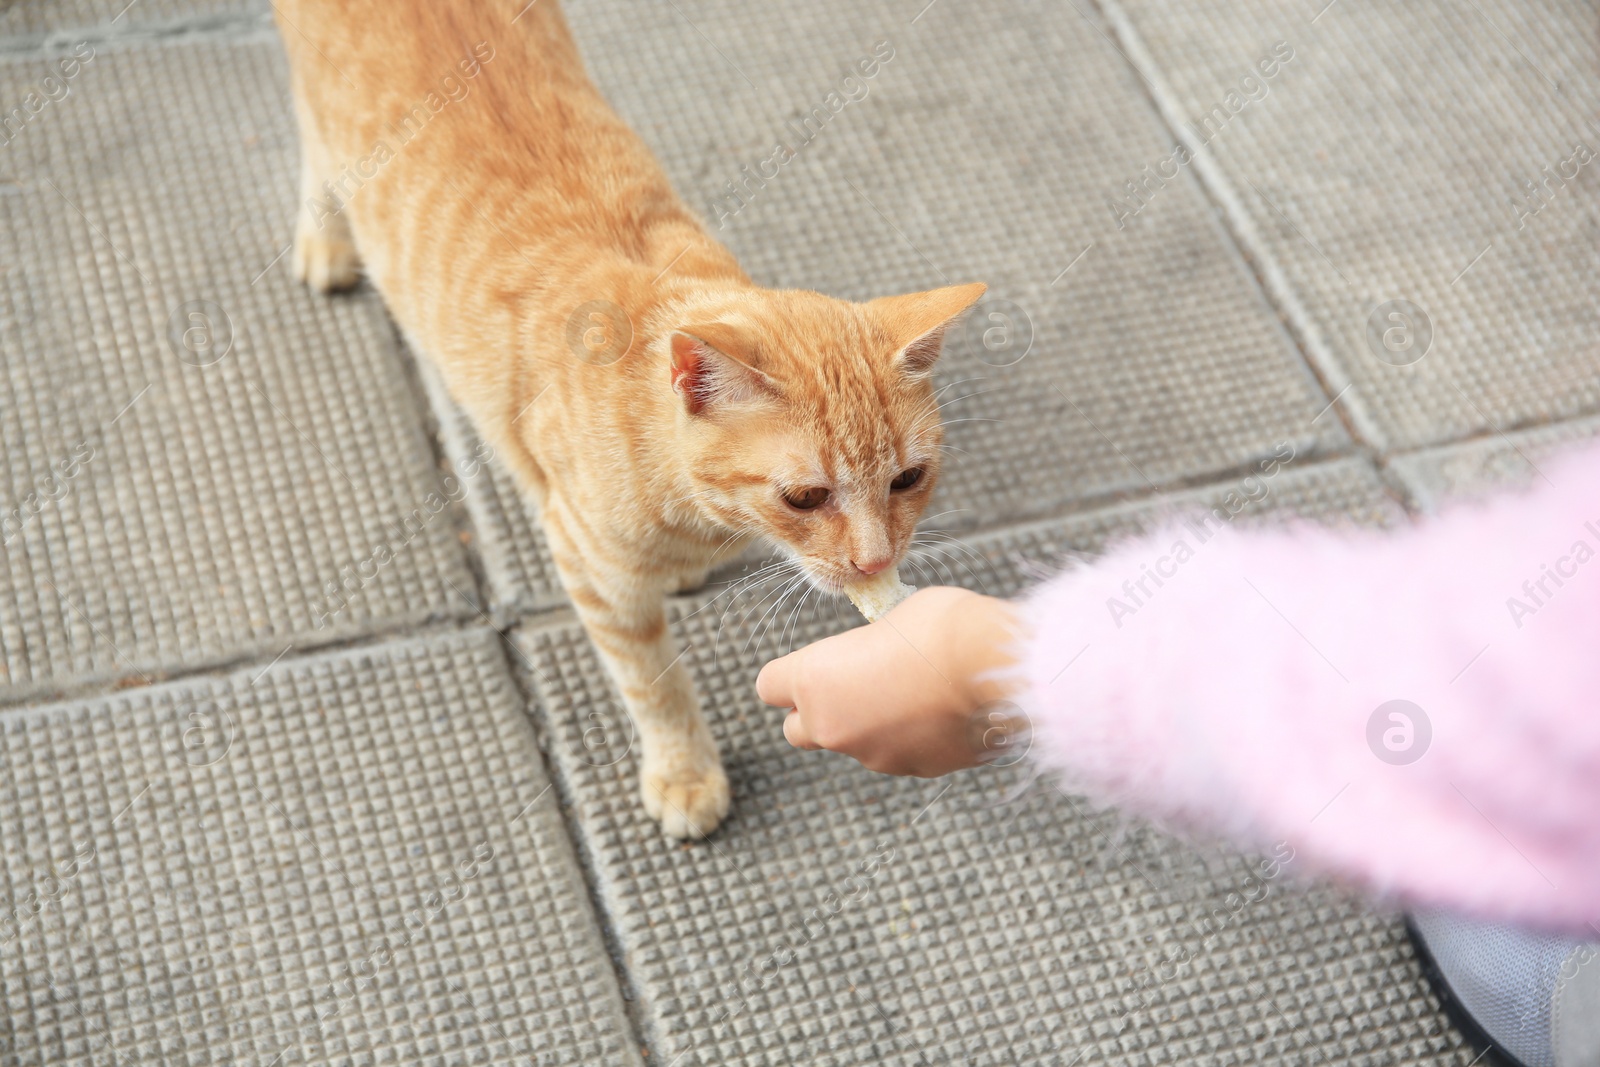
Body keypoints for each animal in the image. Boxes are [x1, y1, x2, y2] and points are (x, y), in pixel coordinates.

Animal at [278, 0, 985, 838]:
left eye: (908, 479)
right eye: (804, 497)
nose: (878, 561)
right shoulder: (592, 567)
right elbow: (654, 685)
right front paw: (684, 771)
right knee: (319, 149)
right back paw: (325, 236)